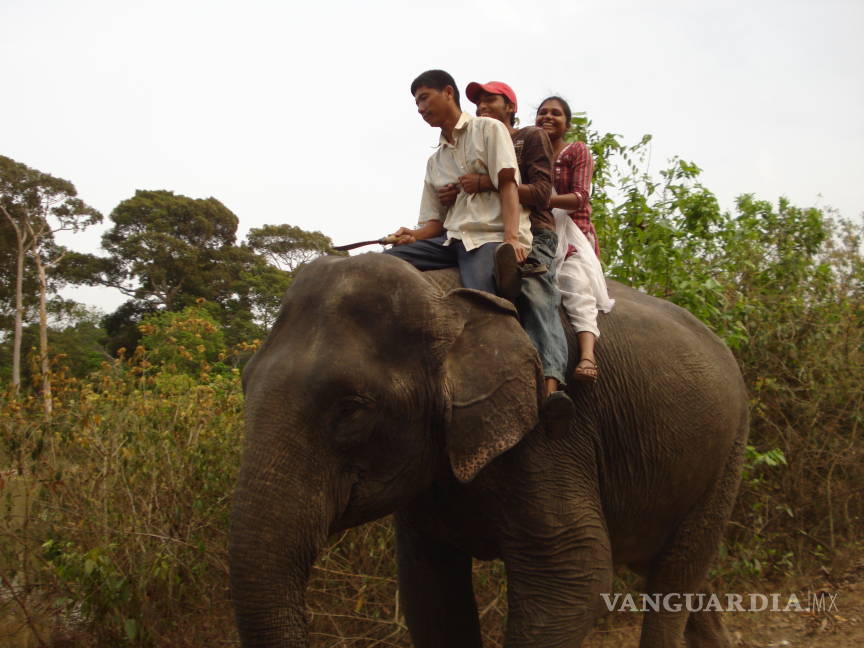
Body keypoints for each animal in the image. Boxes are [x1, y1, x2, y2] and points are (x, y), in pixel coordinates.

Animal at [230, 251, 748, 644]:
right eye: (245, 382)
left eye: (352, 408)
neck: (441, 298)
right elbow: (429, 592)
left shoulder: (550, 429)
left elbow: (572, 575)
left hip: (728, 455)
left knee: (677, 572)